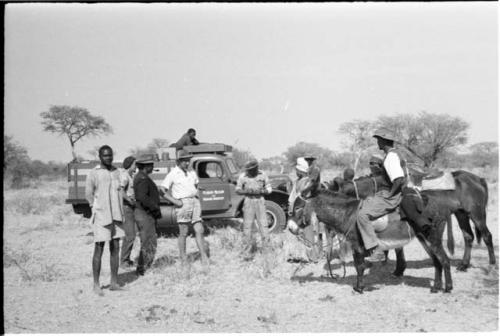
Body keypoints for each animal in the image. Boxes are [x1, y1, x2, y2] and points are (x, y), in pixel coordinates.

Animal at [286, 189, 454, 294]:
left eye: (299, 207)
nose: (290, 228)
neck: (347, 213)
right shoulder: (355, 246)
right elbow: (358, 266)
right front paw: (359, 286)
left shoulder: (357, 245)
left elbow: (359, 266)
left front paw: (359, 288)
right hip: (423, 238)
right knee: (437, 262)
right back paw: (436, 288)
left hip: (432, 237)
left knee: (445, 260)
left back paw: (448, 288)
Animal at [330, 171, 494, 270]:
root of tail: (477, 178)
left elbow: (395, 245)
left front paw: (396, 267)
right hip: (462, 214)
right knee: (468, 237)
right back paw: (464, 265)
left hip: (477, 215)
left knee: (487, 236)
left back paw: (492, 264)